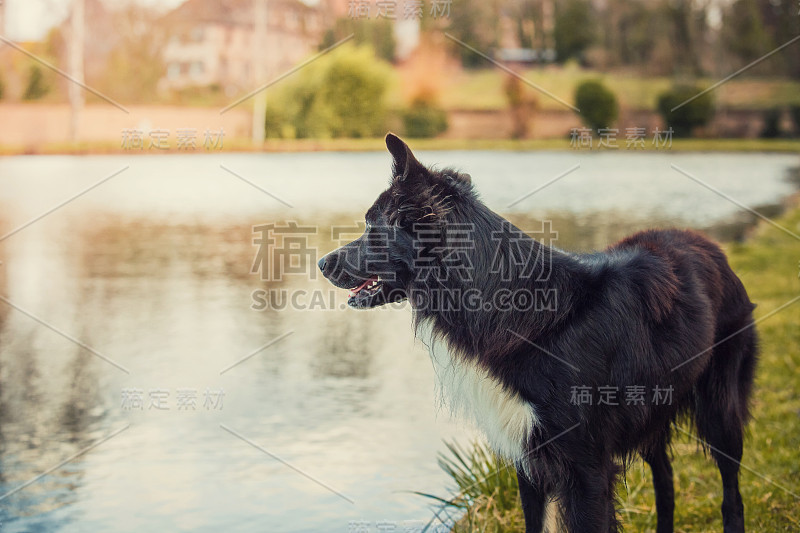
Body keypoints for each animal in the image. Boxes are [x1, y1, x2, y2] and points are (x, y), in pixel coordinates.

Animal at [318, 134, 756, 532]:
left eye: (372, 227)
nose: (321, 263)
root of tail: (707, 243)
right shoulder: (528, 461)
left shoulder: (588, 470)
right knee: (666, 483)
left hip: (720, 410)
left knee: (731, 492)